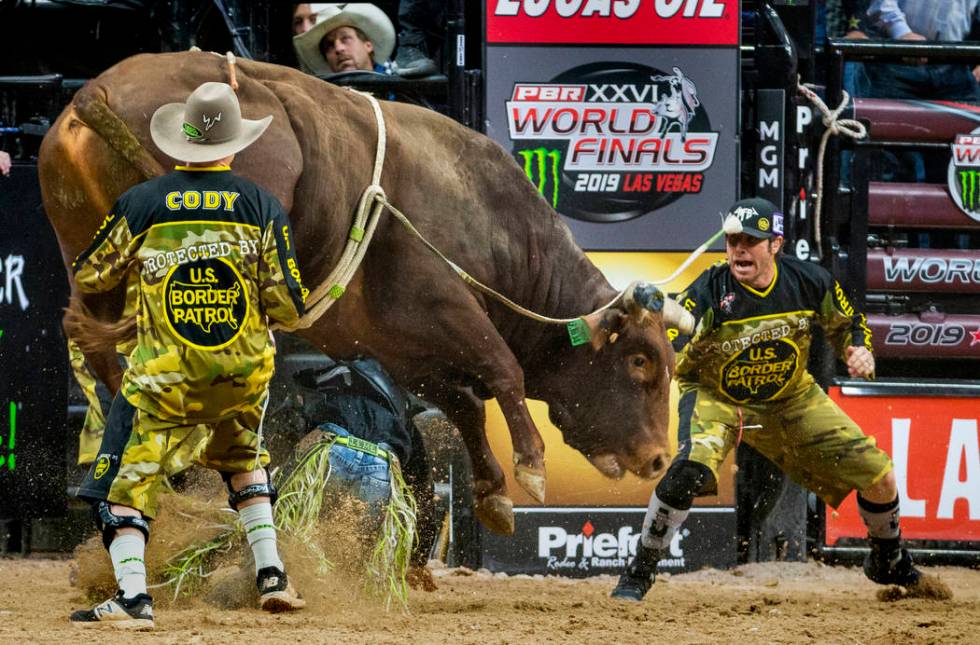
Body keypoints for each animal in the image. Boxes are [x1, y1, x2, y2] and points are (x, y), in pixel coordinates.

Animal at [40, 51, 688, 532]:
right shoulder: (443, 301)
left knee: (95, 340)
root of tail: (93, 91)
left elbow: (465, 404)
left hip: (93, 262)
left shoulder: (400, 345)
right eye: (639, 361)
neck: (493, 224)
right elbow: (503, 369)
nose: (659, 457)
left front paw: (494, 495)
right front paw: (529, 466)